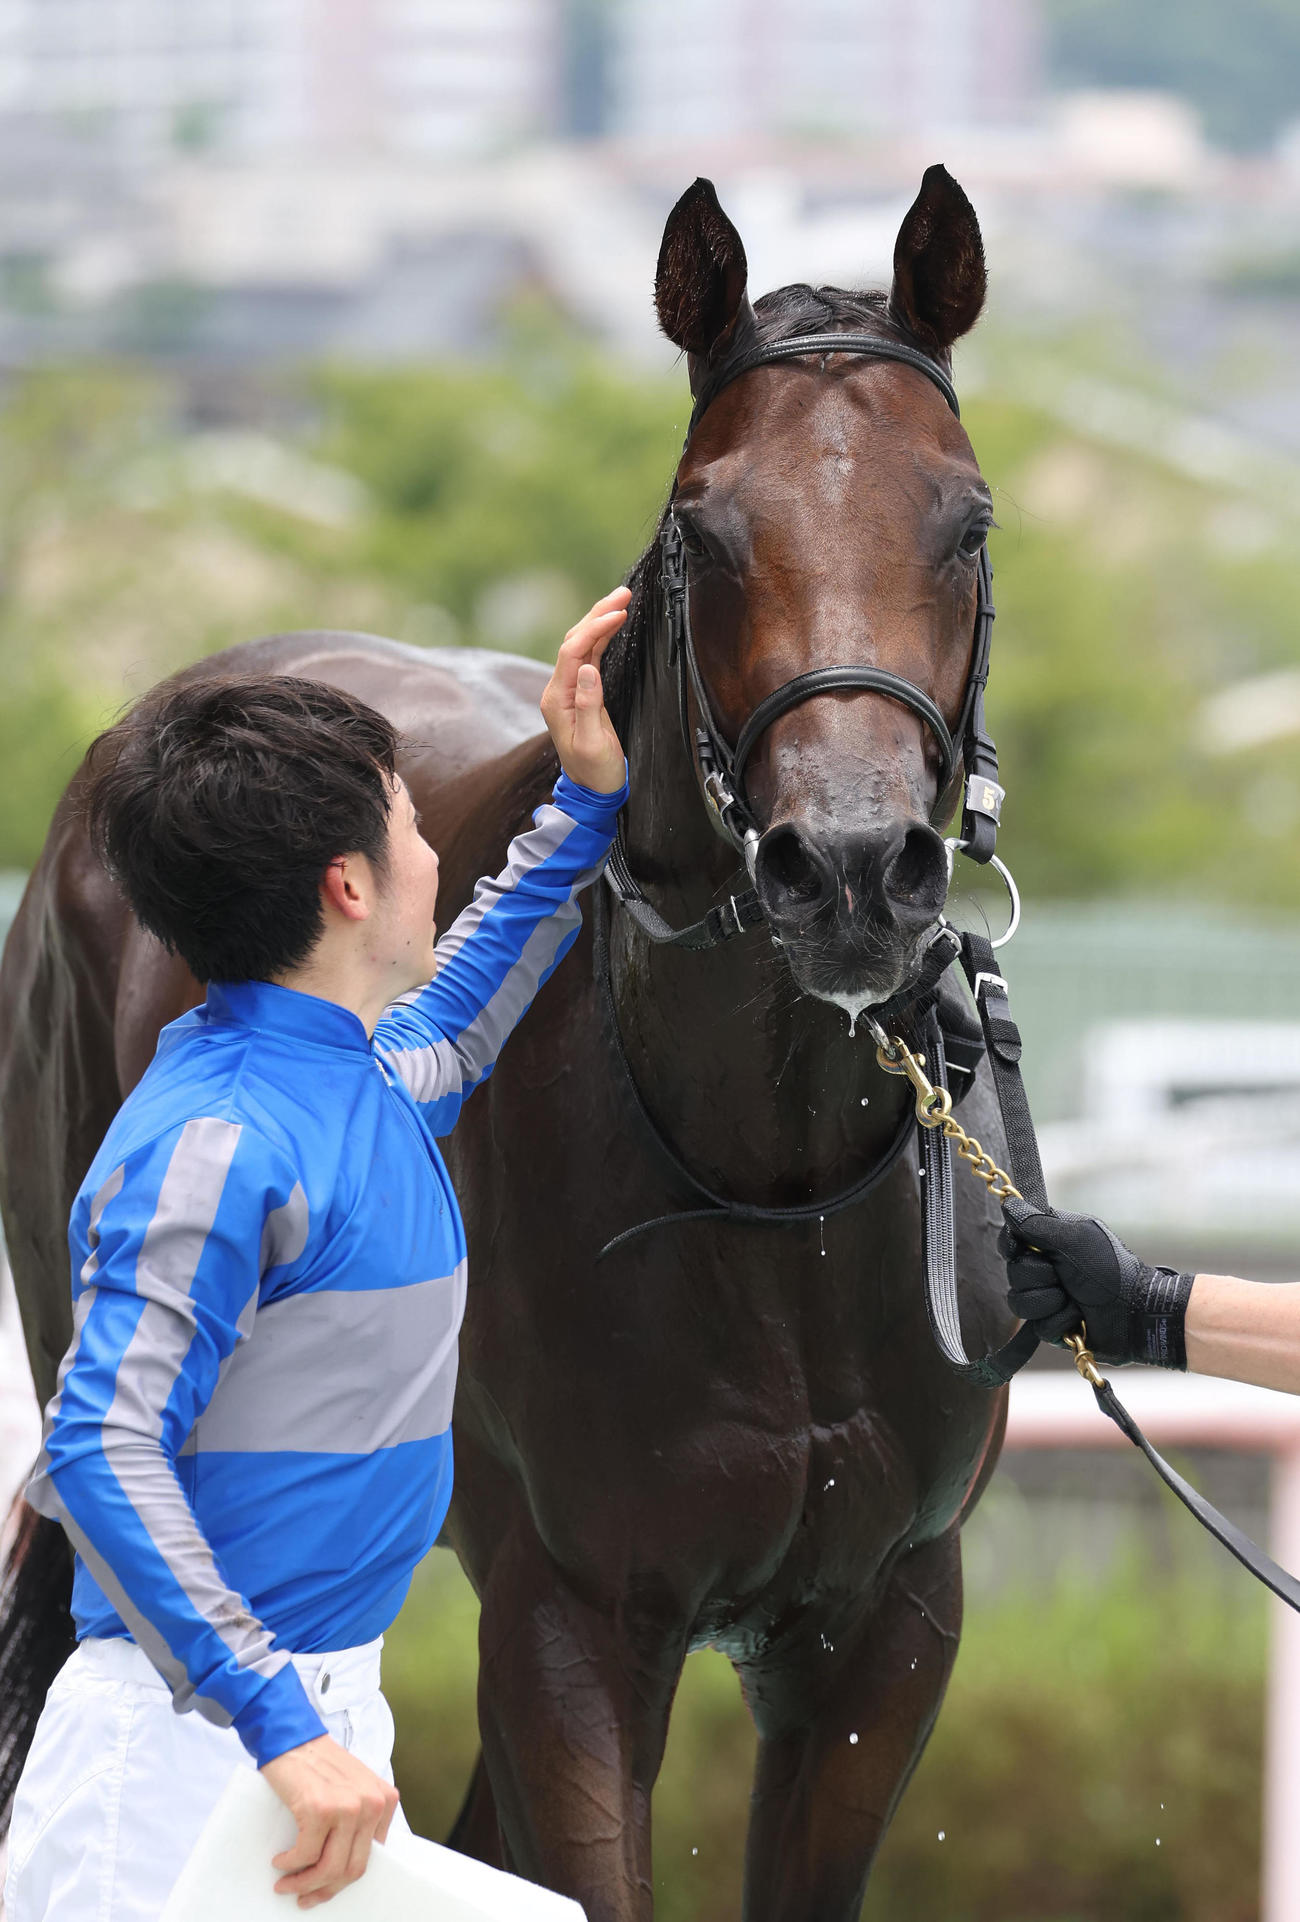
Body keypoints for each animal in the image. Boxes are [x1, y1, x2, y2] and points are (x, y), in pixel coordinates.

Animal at [0, 165, 1014, 1920]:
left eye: (965, 518)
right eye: (702, 525)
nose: (849, 866)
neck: (768, 1191)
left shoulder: (883, 1620)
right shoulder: (574, 1615)